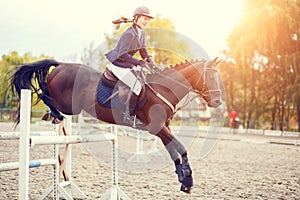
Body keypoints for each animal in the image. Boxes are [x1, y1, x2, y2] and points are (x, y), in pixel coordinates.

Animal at [10, 57, 223, 192]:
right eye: (210, 77)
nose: (218, 102)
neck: (164, 88)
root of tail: (62, 65)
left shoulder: (163, 128)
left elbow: (174, 151)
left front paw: (184, 179)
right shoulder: (156, 127)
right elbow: (181, 148)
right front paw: (188, 178)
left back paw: (52, 115)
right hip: (69, 105)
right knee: (42, 94)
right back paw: (52, 114)